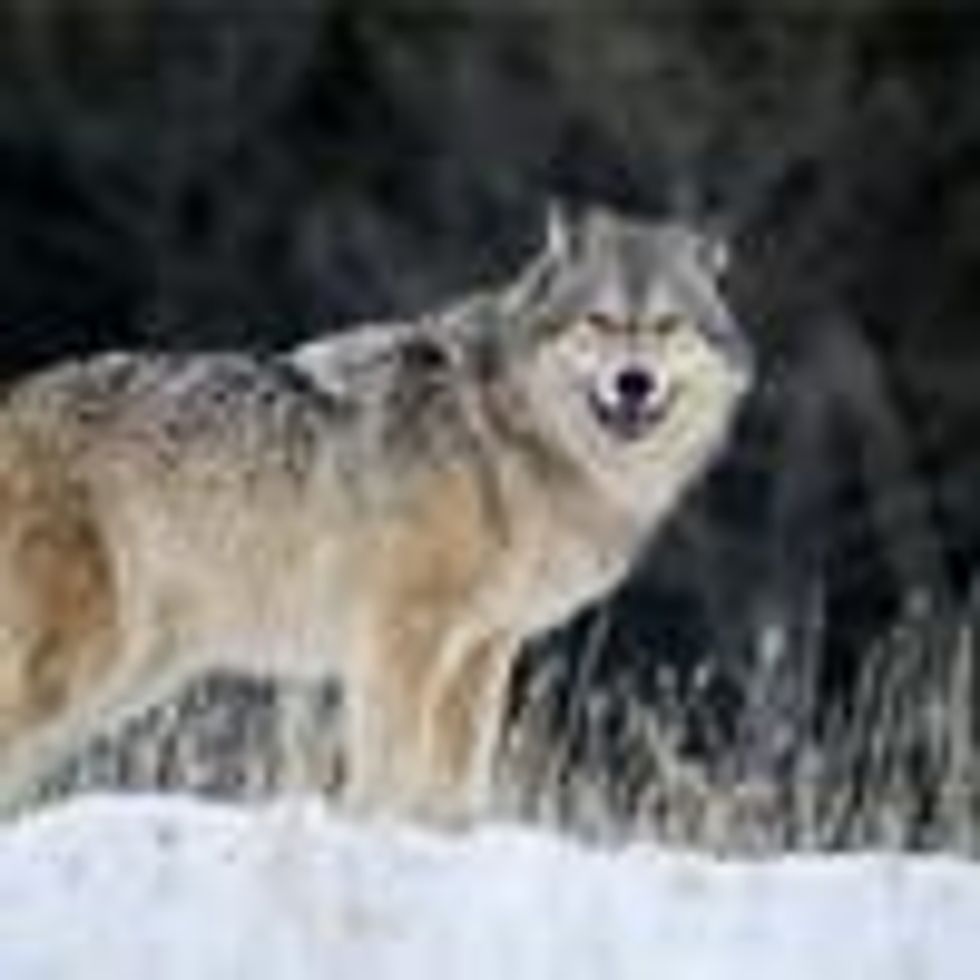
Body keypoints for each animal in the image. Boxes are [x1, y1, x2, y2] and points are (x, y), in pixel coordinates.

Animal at [0, 204, 753, 823]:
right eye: (600, 321)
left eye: (668, 326)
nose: (635, 381)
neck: (503, 435)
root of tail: (14, 399)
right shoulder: (402, 633)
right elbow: (388, 774)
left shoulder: (485, 645)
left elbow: (459, 783)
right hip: (83, 668)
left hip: (130, 678)